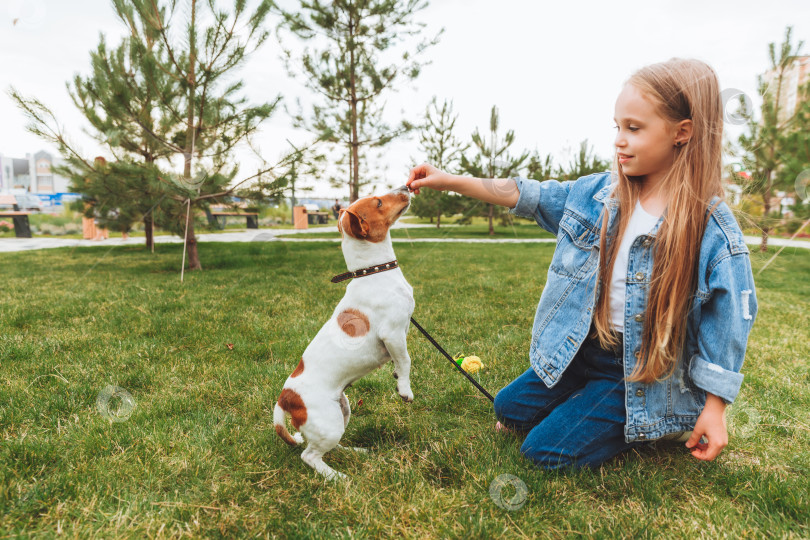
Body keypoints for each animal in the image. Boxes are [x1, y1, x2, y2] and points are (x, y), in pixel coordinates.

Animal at [274, 186, 414, 480]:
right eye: (379, 202)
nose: (407, 187)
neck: (374, 273)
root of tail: (285, 399)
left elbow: (399, 363)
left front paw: (397, 378)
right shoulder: (393, 334)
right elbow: (406, 360)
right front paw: (405, 390)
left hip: (343, 409)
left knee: (330, 447)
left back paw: (354, 452)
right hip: (329, 423)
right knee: (310, 456)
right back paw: (337, 478)